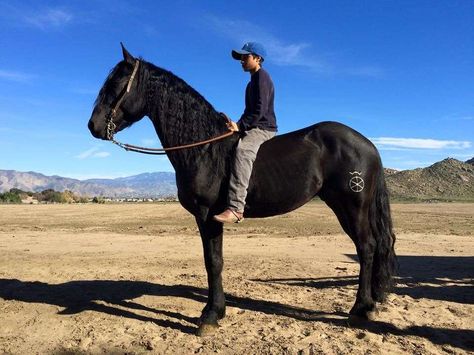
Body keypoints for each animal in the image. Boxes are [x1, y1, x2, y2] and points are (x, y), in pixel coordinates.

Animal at [88, 44, 396, 336]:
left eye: (116, 84)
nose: (93, 125)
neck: (204, 148)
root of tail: (368, 144)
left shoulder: (207, 215)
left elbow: (213, 261)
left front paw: (211, 315)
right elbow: (213, 261)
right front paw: (217, 311)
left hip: (352, 206)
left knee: (367, 247)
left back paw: (361, 308)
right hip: (346, 206)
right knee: (375, 244)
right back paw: (372, 301)